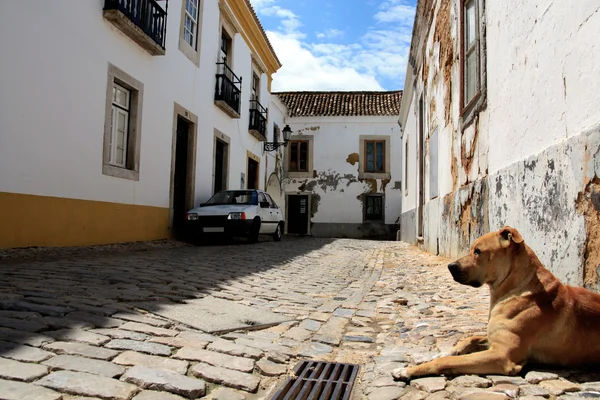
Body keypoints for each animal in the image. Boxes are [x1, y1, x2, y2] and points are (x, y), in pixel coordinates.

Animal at [392, 225, 600, 382]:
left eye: (478, 251)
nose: (450, 266)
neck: (516, 289)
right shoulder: (493, 339)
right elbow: (467, 340)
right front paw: (433, 354)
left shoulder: (502, 355)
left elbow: (448, 362)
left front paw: (408, 370)